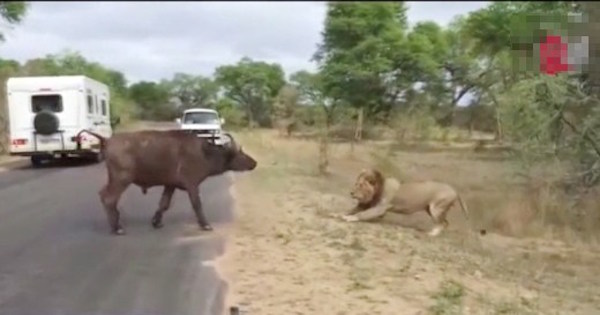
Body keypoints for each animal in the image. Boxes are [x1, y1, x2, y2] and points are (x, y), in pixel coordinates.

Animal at [77, 128, 255, 235]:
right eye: (240, 154)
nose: (254, 163)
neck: (205, 153)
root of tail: (107, 140)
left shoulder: (170, 185)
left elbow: (164, 204)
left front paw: (156, 222)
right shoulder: (192, 185)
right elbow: (197, 204)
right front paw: (205, 225)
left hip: (114, 179)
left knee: (103, 195)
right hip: (121, 179)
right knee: (109, 198)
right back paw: (117, 228)